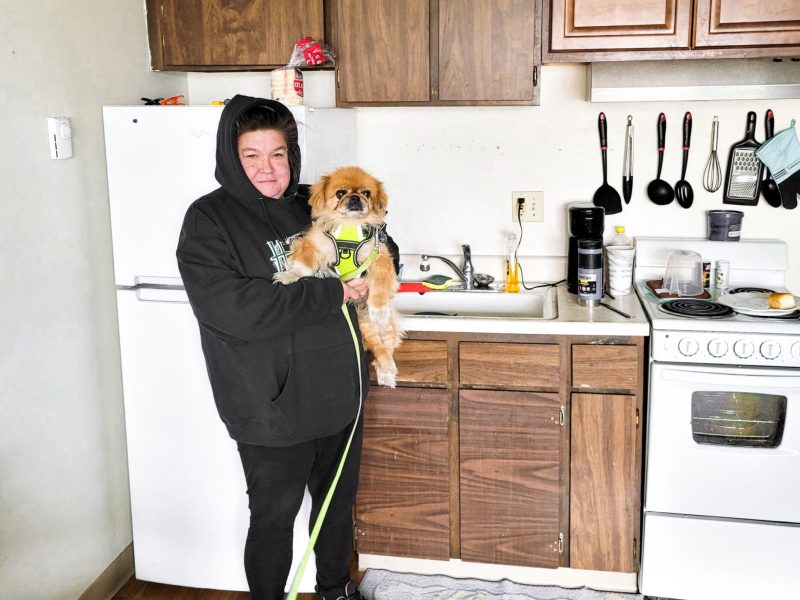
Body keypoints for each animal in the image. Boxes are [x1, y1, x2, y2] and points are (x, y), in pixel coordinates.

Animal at [276, 166, 404, 386]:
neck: (349, 227)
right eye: (340, 193)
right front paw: (289, 275)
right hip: (363, 325)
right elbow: (304, 266)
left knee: (386, 347)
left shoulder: (378, 258)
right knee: (378, 345)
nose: (355, 198)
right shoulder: (314, 244)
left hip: (380, 325)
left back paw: (386, 370)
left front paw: (379, 308)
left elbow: (379, 287)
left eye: (366, 193)